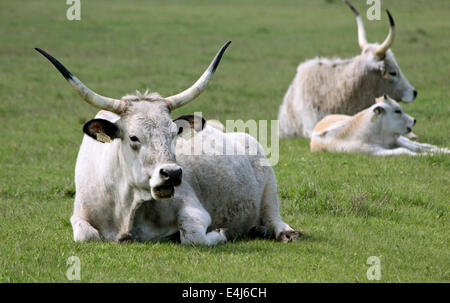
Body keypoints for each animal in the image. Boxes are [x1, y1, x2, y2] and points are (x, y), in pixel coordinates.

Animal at [37, 43, 300, 247]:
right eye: (134, 137)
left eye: (174, 133)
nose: (172, 173)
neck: (127, 207)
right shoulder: (79, 214)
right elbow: (86, 235)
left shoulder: (194, 209)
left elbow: (193, 235)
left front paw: (221, 232)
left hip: (269, 189)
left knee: (273, 216)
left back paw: (283, 232)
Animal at [312, 95, 448, 157]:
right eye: (397, 111)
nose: (414, 120)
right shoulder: (374, 151)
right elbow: (405, 151)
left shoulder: (396, 141)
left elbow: (415, 148)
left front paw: (441, 152)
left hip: (401, 138)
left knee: (420, 144)